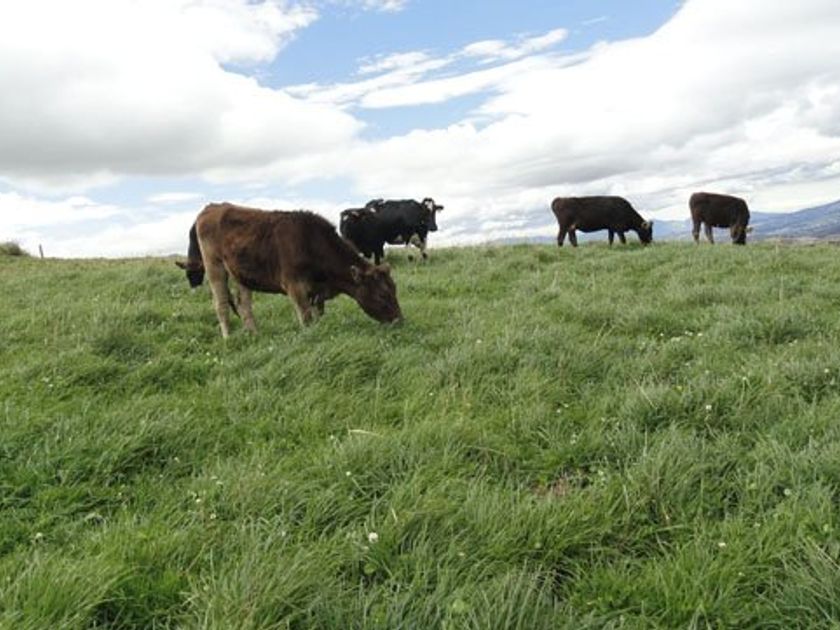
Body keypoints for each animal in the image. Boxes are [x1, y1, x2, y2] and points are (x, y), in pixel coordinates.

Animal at [176, 203, 402, 338]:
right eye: (382, 294)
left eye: (394, 290)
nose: (400, 320)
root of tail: (212, 207)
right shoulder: (295, 286)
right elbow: (306, 318)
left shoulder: (316, 292)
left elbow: (318, 315)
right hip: (214, 265)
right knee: (221, 304)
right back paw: (228, 338)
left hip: (240, 272)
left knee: (244, 305)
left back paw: (254, 334)